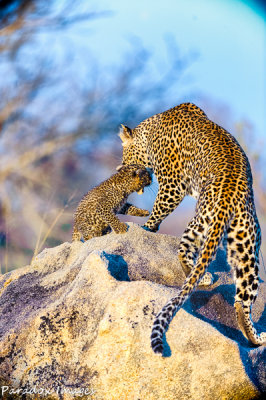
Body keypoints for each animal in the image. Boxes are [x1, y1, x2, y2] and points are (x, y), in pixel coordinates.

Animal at [118, 101, 266, 354]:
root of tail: (228, 198)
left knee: (184, 252)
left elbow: (158, 209)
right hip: (245, 244)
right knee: (241, 300)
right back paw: (254, 337)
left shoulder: (172, 184)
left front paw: (147, 228)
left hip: (203, 223)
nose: (120, 167)